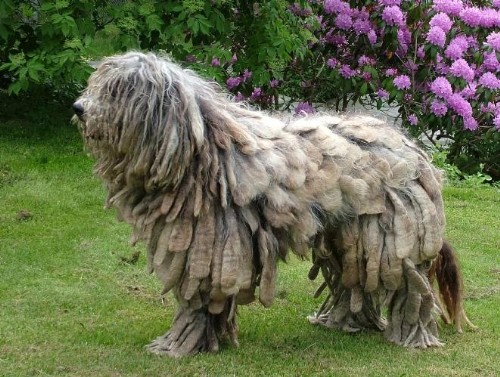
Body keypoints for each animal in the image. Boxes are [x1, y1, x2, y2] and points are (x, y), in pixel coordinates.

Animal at [72, 50, 474, 356]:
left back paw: (412, 337)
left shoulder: (212, 249)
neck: (204, 151)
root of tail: (414, 150)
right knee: (353, 281)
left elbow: (199, 298)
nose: (78, 107)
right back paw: (345, 322)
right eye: (99, 84)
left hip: (393, 239)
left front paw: (178, 345)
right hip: (352, 237)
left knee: (412, 291)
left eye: (118, 90)